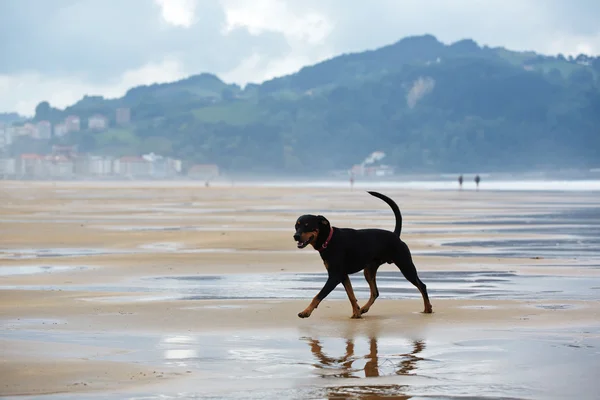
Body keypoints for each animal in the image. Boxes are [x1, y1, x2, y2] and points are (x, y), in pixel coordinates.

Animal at [292, 191, 428, 318]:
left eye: (307, 225)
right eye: (296, 226)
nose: (295, 236)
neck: (328, 240)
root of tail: (395, 235)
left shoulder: (335, 276)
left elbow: (318, 295)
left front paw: (305, 312)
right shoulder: (343, 275)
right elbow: (351, 295)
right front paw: (356, 313)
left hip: (405, 265)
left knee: (422, 285)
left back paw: (428, 309)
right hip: (369, 270)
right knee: (375, 292)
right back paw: (363, 309)